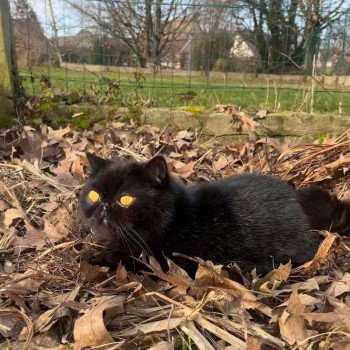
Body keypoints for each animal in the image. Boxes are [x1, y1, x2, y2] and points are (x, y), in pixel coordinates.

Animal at [79, 154, 350, 274]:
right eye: (93, 195)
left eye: (125, 199)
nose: (103, 205)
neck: (176, 219)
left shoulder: (166, 261)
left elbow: (125, 260)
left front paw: (95, 259)